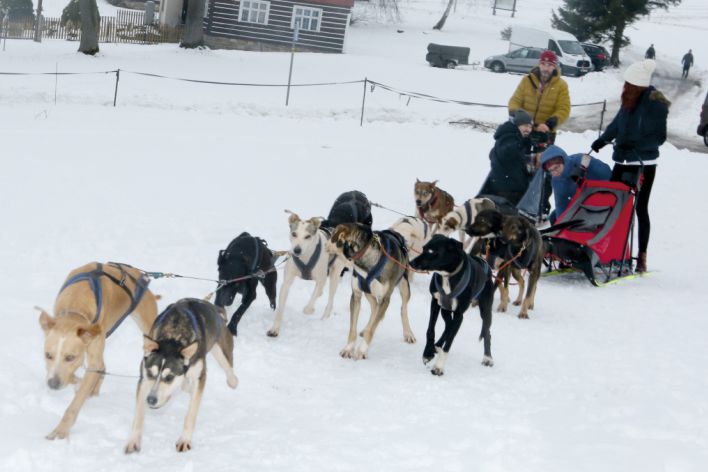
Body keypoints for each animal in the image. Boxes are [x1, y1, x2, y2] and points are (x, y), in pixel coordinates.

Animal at [37, 262, 158, 440]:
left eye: (70, 357)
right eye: (48, 355)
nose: (53, 384)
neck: (75, 305)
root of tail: (141, 275)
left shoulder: (92, 358)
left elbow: (75, 402)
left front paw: (61, 431)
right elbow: (79, 377)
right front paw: (79, 383)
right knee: (103, 367)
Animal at [125, 298, 238, 453]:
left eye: (169, 377)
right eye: (150, 373)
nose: (151, 399)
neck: (174, 334)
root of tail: (214, 308)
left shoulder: (199, 376)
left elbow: (190, 414)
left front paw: (185, 440)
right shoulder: (144, 379)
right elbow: (139, 414)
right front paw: (134, 440)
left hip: (221, 351)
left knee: (229, 370)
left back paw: (232, 381)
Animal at [330, 223, 415, 359]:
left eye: (333, 233)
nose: (326, 241)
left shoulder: (385, 299)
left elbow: (372, 329)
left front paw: (362, 350)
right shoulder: (356, 295)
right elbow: (352, 329)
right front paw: (348, 348)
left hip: (404, 285)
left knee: (403, 308)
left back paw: (408, 333)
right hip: (368, 292)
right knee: (375, 307)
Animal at [410, 235, 495, 375]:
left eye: (431, 251)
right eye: (424, 248)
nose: (411, 263)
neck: (447, 275)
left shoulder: (459, 314)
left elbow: (449, 341)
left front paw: (438, 366)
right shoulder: (435, 303)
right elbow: (431, 330)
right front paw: (428, 352)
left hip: (486, 310)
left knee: (487, 332)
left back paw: (488, 358)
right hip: (445, 309)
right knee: (448, 325)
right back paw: (436, 346)